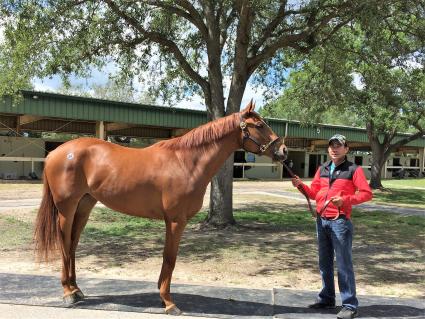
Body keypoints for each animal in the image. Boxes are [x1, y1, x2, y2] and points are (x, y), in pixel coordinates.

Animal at [34, 102, 286, 316]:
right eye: (260, 125)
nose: (283, 151)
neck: (186, 163)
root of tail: (55, 152)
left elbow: (168, 259)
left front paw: (161, 296)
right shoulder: (175, 220)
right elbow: (169, 258)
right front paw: (168, 302)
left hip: (84, 206)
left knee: (72, 245)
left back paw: (77, 290)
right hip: (66, 209)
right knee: (64, 245)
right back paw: (68, 293)